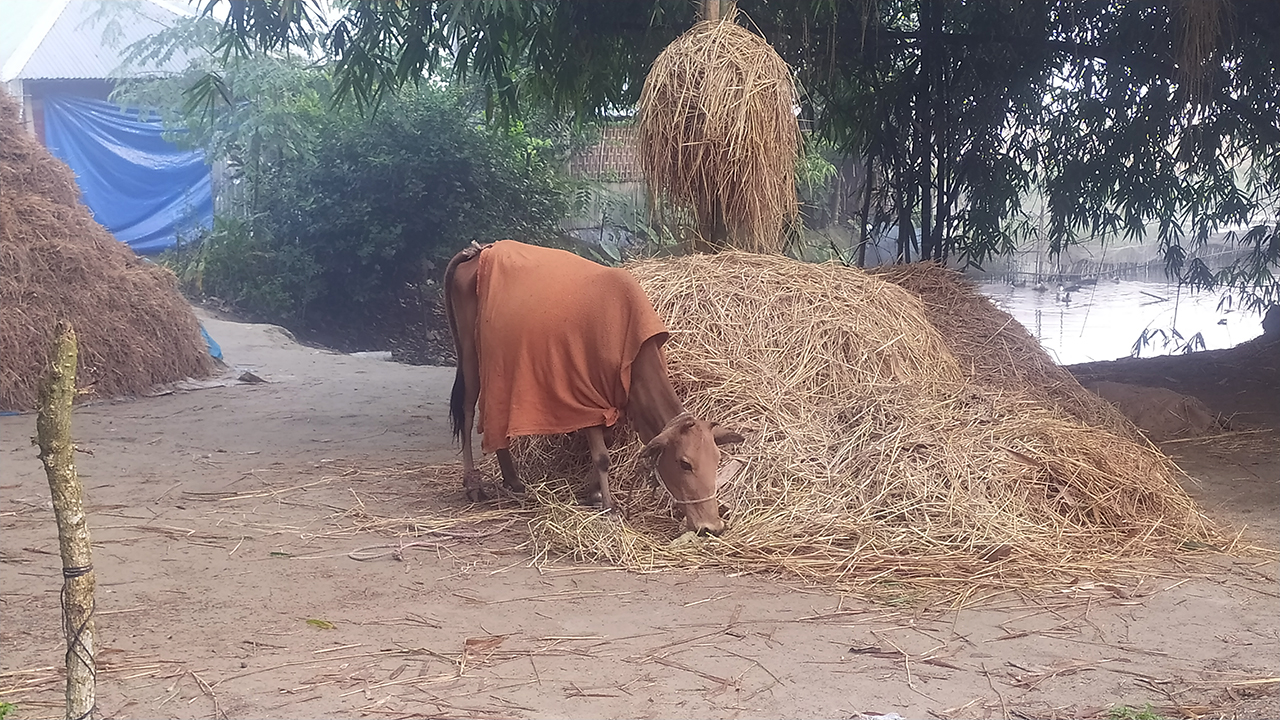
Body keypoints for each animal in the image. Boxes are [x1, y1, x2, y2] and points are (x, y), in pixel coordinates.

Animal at [442, 239, 744, 535]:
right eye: (684, 463)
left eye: (717, 460)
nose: (712, 526)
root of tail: (479, 252)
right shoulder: (585, 397)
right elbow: (602, 457)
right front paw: (609, 505)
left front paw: (594, 494)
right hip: (471, 356)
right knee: (468, 411)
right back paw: (473, 485)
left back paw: (513, 481)